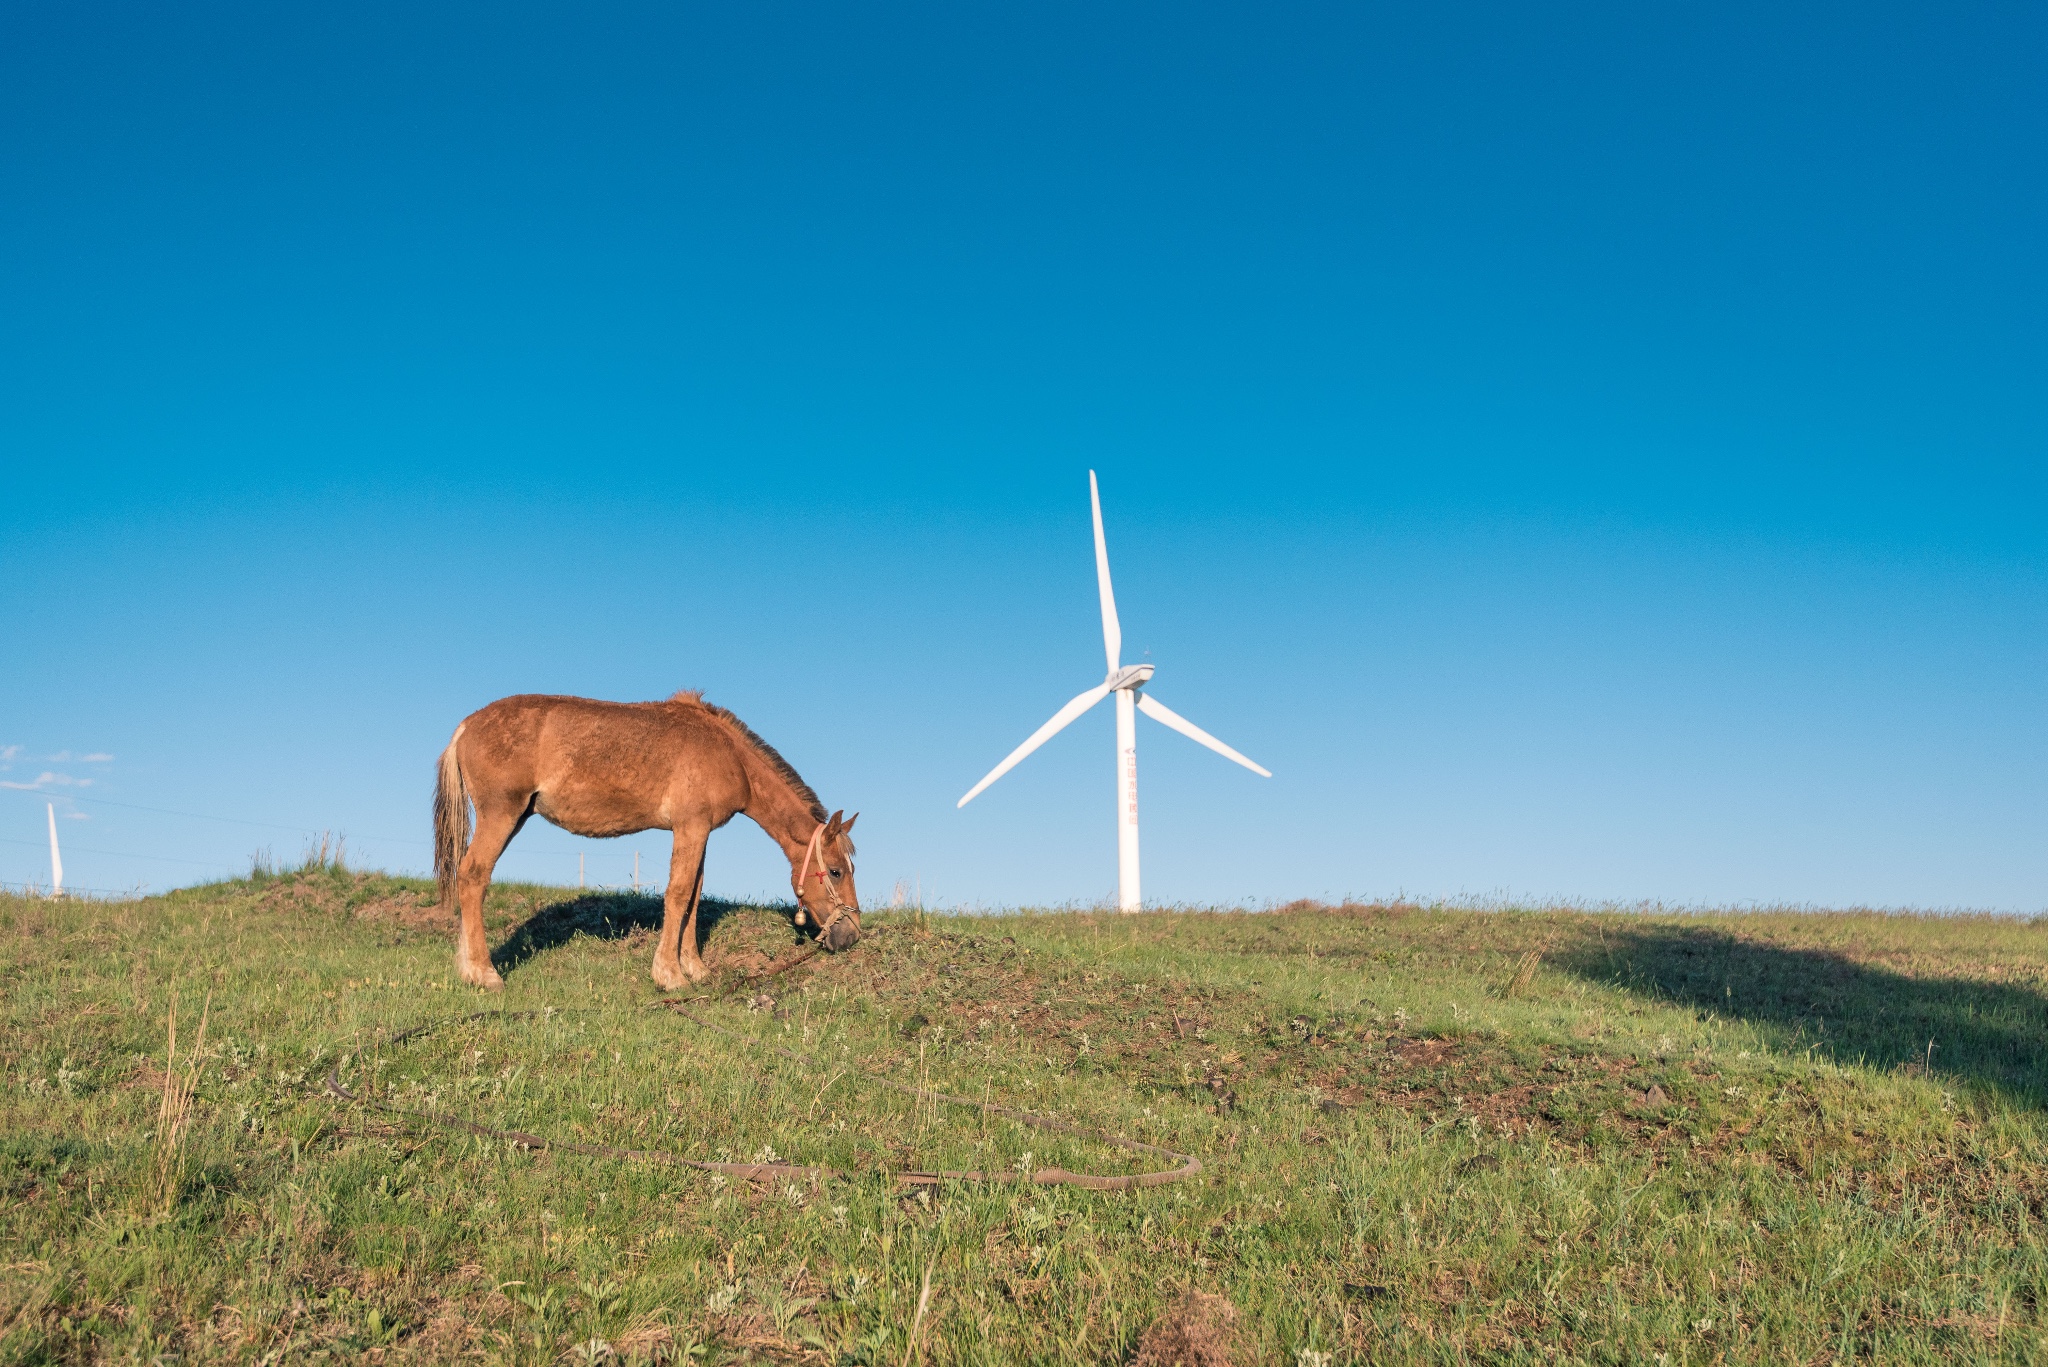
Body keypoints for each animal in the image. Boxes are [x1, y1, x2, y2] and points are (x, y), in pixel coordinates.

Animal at [436, 688, 860, 987]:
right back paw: (485, 974)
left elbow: (694, 896)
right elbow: (678, 894)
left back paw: (467, 967)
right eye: (836, 871)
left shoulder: (700, 832)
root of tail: (466, 726)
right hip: (501, 815)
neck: (728, 754)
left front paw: (695, 969)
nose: (852, 935)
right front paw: (669, 975)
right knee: (473, 876)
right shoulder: (690, 827)